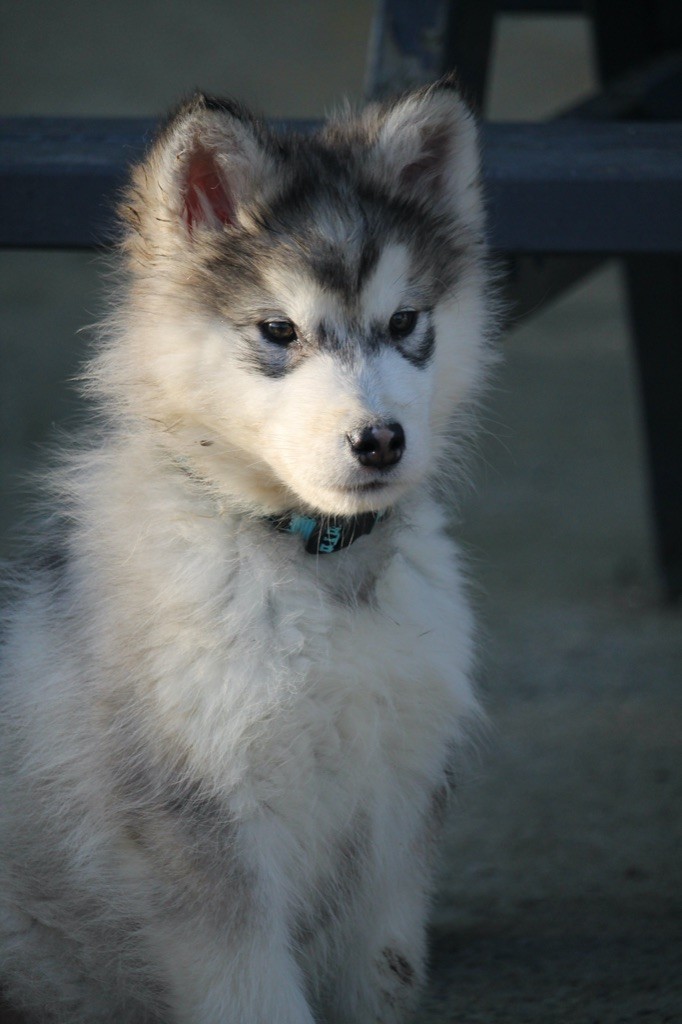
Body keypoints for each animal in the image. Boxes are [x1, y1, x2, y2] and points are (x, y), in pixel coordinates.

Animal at [0, 75, 489, 1019]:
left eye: (405, 322)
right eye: (279, 331)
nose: (380, 441)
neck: (319, 566)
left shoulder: (397, 823)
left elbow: (381, 977)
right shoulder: (202, 830)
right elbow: (255, 992)